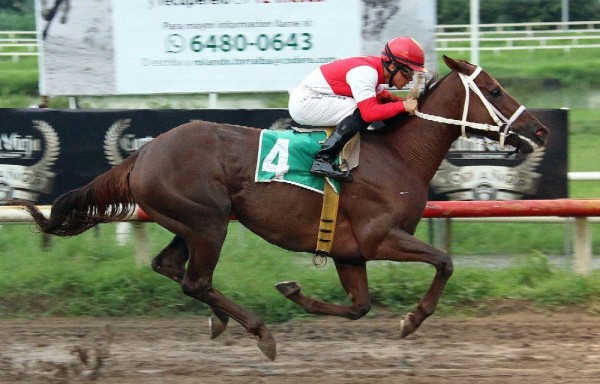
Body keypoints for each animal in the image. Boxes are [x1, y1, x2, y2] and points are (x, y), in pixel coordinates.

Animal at [8, 56, 548, 360]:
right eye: (495, 90)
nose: (540, 130)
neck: (398, 155)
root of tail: (144, 152)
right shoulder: (379, 238)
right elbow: (444, 262)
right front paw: (412, 320)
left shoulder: (349, 250)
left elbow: (359, 306)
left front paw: (294, 291)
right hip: (208, 222)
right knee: (194, 279)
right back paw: (259, 332)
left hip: (190, 220)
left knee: (170, 266)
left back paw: (222, 320)